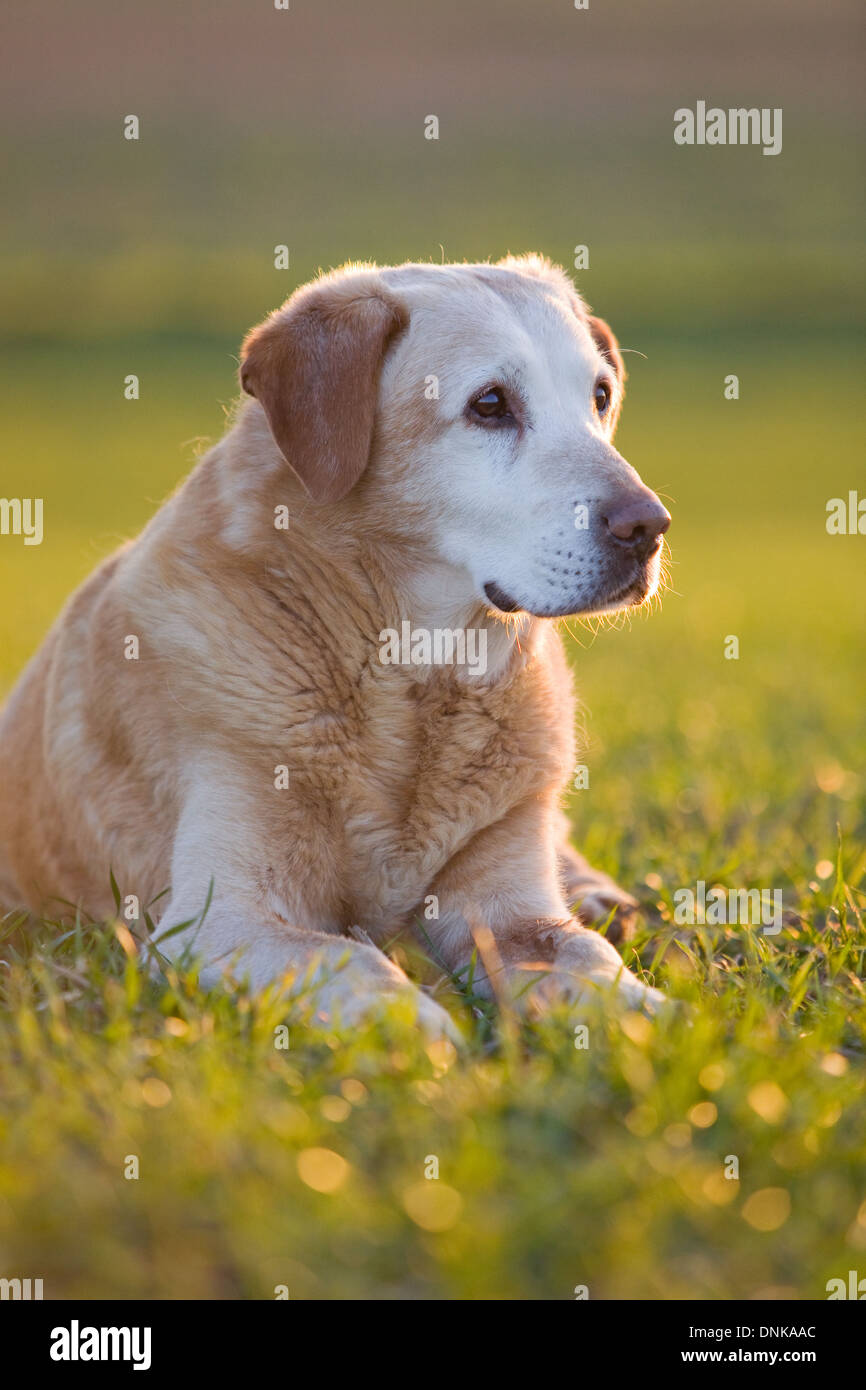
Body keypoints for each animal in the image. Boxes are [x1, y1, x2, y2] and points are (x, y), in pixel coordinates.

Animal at [0, 255, 670, 1034]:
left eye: (600, 397)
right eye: (490, 404)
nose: (649, 527)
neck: (408, 679)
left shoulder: (511, 909)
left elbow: (590, 959)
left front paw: (659, 1020)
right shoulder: (216, 921)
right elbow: (353, 959)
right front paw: (423, 1034)